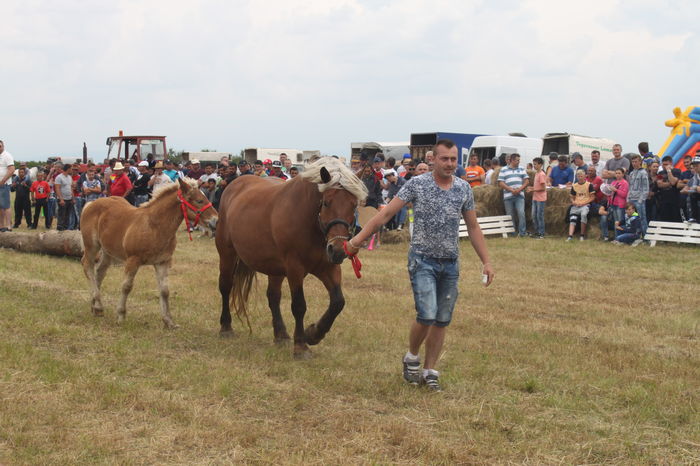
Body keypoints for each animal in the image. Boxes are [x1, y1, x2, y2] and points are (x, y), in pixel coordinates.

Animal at [80, 177, 218, 328]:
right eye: (199, 200)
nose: (216, 220)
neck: (155, 226)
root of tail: (91, 204)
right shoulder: (133, 260)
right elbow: (126, 287)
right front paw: (121, 315)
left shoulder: (163, 262)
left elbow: (164, 291)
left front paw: (168, 321)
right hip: (92, 246)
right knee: (87, 266)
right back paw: (98, 306)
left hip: (108, 251)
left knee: (99, 272)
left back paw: (95, 306)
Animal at [215, 157, 368, 358]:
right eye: (327, 202)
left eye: (353, 205)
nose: (337, 250)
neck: (310, 223)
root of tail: (234, 184)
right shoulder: (294, 268)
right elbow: (299, 305)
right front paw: (301, 346)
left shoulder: (328, 267)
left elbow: (337, 302)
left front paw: (314, 334)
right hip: (227, 254)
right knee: (226, 286)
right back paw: (226, 327)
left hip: (275, 268)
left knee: (273, 297)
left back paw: (281, 335)